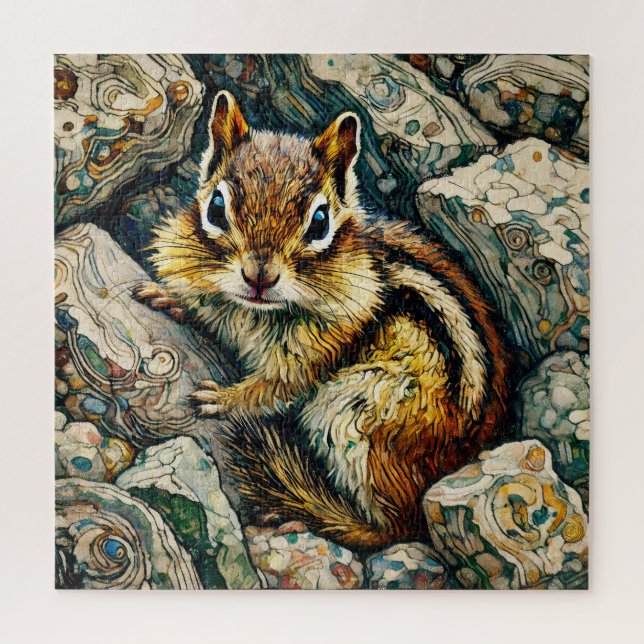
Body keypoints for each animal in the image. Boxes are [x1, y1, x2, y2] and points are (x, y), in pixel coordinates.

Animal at [135, 90, 512, 549]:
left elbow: (274, 387)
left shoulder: (317, 351)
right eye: (217, 207)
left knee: (396, 528)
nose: (259, 275)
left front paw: (222, 398)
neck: (253, 311)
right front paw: (168, 298)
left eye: (319, 222)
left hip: (361, 416)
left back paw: (308, 517)